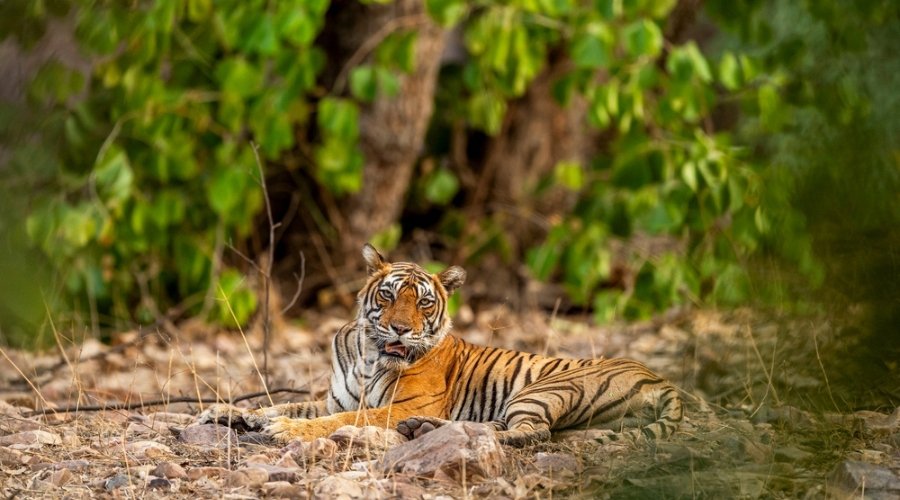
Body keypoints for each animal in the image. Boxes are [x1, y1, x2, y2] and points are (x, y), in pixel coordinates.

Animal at [196, 244, 683, 447]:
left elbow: (335, 420)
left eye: (424, 302)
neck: (369, 358)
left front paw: (281, 431)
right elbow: (285, 404)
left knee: (532, 432)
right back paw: (427, 432)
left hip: (541, 390)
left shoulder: (400, 407)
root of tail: (658, 377)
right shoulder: (334, 397)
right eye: (389, 295)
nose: (399, 329)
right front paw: (230, 413)